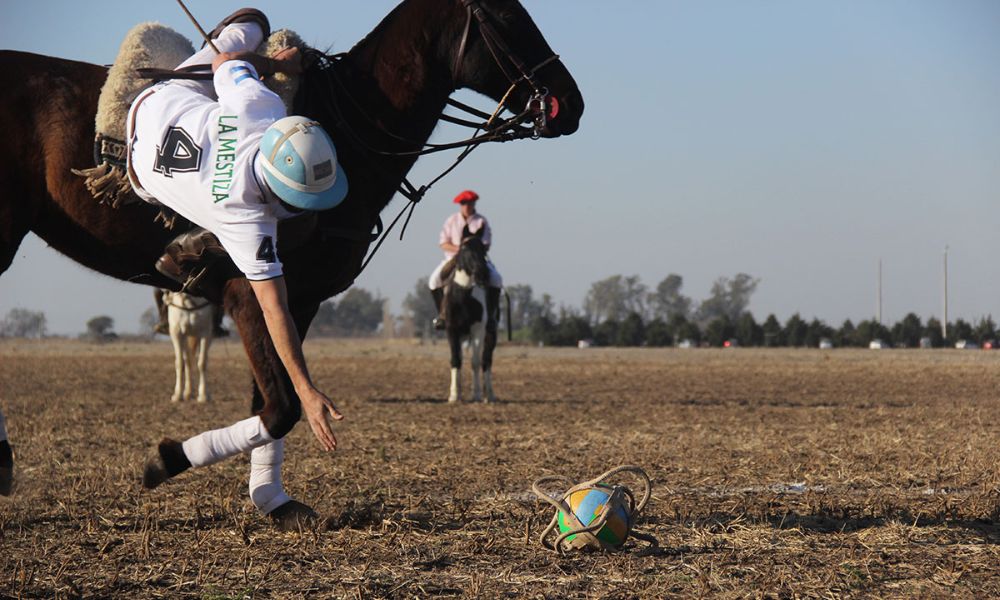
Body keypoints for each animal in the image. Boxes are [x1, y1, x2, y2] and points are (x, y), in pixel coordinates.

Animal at [444, 225, 498, 404]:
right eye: (464, 248)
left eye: (483, 248)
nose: (482, 274)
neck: (464, 297)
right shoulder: (452, 330)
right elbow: (456, 359)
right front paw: (454, 395)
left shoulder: (478, 330)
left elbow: (475, 362)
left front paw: (477, 394)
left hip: (490, 335)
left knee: (486, 361)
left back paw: (489, 394)